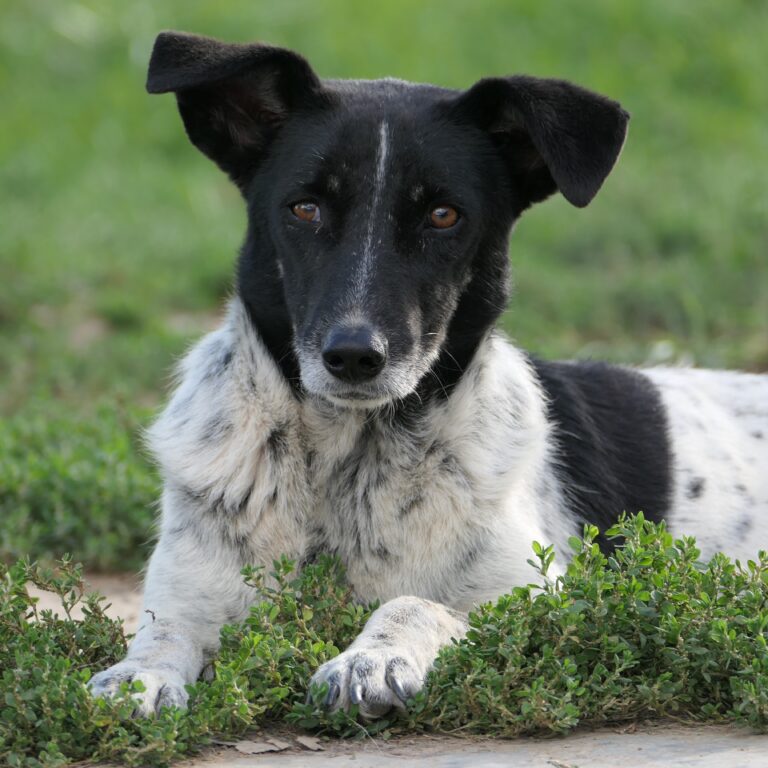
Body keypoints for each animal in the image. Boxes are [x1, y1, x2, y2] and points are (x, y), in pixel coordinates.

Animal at [87, 31, 764, 720]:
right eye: (304, 208)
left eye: (443, 215)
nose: (354, 355)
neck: (349, 464)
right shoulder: (189, 589)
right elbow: (163, 632)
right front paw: (136, 679)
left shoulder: (549, 598)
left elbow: (415, 602)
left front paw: (371, 658)